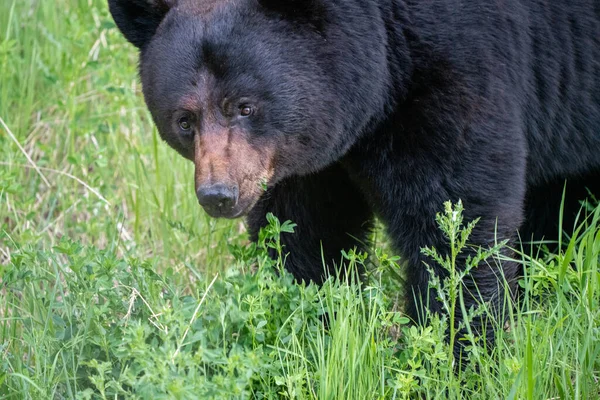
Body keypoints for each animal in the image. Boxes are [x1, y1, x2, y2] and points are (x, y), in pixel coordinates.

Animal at [109, 0, 600, 350]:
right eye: (185, 120)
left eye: (245, 106)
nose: (219, 194)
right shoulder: (304, 158)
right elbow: (308, 232)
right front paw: (312, 327)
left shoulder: (455, 66)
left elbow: (455, 221)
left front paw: (456, 350)